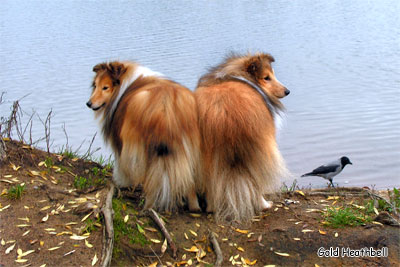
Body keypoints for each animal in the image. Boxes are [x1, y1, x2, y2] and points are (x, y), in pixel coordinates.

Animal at [86, 61, 200, 214]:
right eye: (95, 85)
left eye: (105, 87)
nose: (89, 103)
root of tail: (166, 107)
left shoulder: (120, 140)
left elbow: (119, 163)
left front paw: (120, 182)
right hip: (187, 145)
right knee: (189, 179)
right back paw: (194, 206)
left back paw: (148, 206)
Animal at [195, 52, 290, 224]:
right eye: (267, 77)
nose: (287, 91)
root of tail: (223, 112)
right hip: (259, 149)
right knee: (256, 182)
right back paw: (265, 205)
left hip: (204, 152)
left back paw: (210, 207)